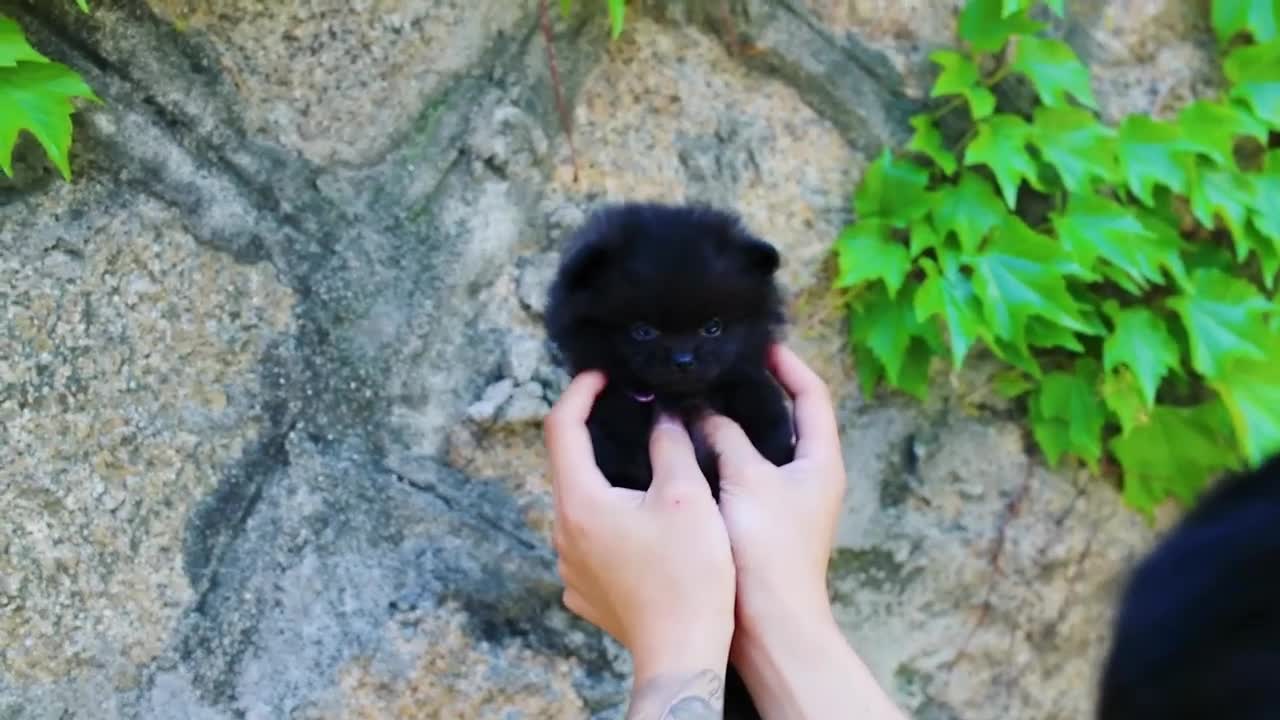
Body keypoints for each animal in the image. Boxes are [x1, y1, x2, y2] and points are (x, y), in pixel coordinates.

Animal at [542, 198, 798, 712]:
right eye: (642, 330)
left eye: (713, 327)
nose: (683, 359)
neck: (679, 400)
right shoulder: (611, 424)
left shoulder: (752, 394)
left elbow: (764, 416)